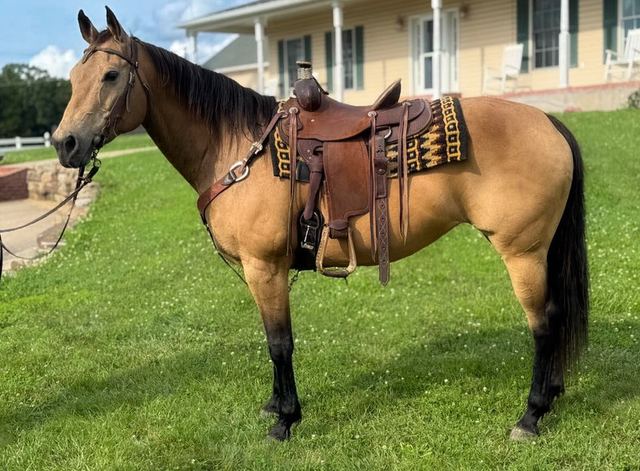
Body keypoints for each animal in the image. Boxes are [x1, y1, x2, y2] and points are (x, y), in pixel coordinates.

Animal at [51, 7, 588, 442]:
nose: (64, 143)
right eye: (74, 77)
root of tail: (549, 122)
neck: (237, 148)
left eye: (112, 75)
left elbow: (279, 343)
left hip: (522, 253)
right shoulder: (260, 272)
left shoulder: (265, 267)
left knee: (544, 324)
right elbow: (271, 340)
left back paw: (530, 416)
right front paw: (275, 405)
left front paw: (285, 420)